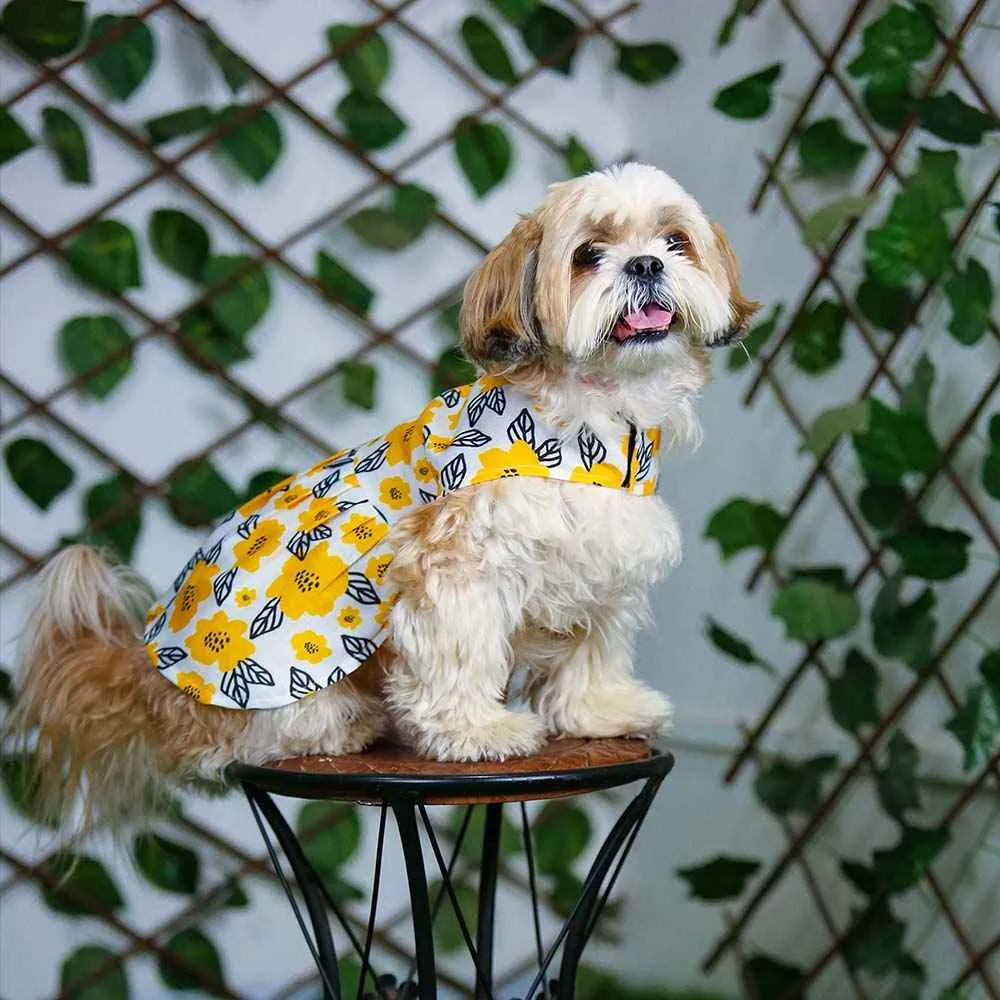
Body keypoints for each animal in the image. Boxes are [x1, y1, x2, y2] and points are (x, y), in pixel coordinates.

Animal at [9, 164, 756, 832]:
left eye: (675, 241)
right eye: (588, 255)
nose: (645, 265)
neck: (590, 425)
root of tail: (152, 671)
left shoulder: (604, 561)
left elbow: (591, 649)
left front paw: (596, 711)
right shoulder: (458, 566)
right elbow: (460, 654)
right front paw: (476, 732)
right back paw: (339, 725)